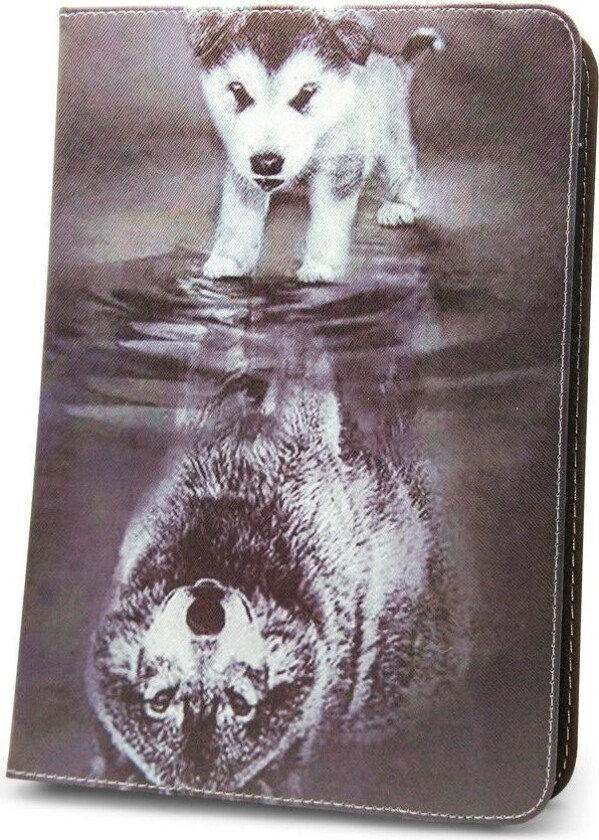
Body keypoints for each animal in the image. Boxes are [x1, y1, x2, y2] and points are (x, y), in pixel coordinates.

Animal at [185, 9, 444, 283]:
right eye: (238, 90)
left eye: (306, 93)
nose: (266, 162)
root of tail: (392, 60)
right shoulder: (242, 166)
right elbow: (238, 215)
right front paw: (229, 260)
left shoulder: (339, 166)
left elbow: (329, 219)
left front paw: (320, 267)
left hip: (391, 138)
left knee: (403, 168)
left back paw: (398, 205)